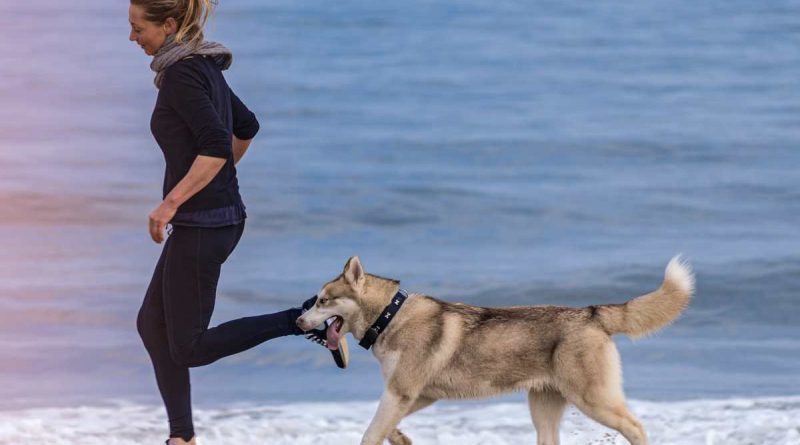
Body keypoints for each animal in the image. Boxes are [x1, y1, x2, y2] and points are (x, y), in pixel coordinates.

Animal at [298, 255, 692, 442]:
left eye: (322, 300)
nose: (299, 322)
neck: (390, 315)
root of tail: (592, 312)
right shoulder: (416, 394)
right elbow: (384, 426)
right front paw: (401, 438)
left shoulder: (401, 391)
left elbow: (370, 433)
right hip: (544, 407)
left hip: (593, 399)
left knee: (636, 427)